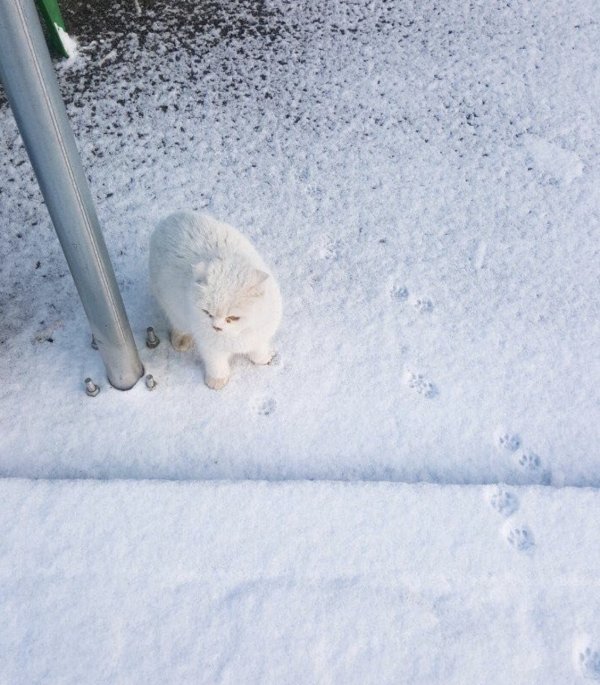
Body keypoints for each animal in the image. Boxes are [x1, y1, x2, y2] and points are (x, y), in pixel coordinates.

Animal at [149, 211, 282, 388]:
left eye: (233, 317)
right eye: (207, 313)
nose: (216, 327)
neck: (238, 335)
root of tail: (169, 218)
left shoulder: (260, 336)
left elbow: (258, 350)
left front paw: (263, 359)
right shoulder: (210, 347)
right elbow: (217, 365)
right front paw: (216, 382)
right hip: (172, 307)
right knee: (178, 324)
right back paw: (181, 341)